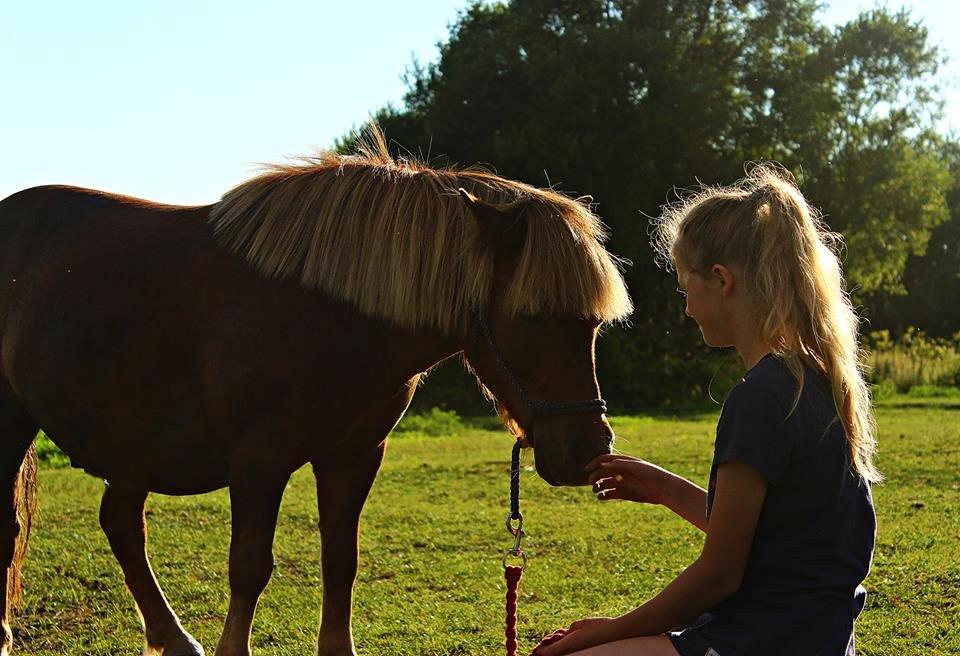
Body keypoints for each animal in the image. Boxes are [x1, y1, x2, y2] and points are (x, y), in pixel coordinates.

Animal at [0, 129, 632, 656]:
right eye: (531, 318)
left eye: (593, 325)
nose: (587, 449)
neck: (332, 315)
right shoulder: (259, 461)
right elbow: (250, 566)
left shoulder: (354, 456)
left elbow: (340, 561)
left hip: (133, 440)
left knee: (121, 523)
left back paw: (173, 638)